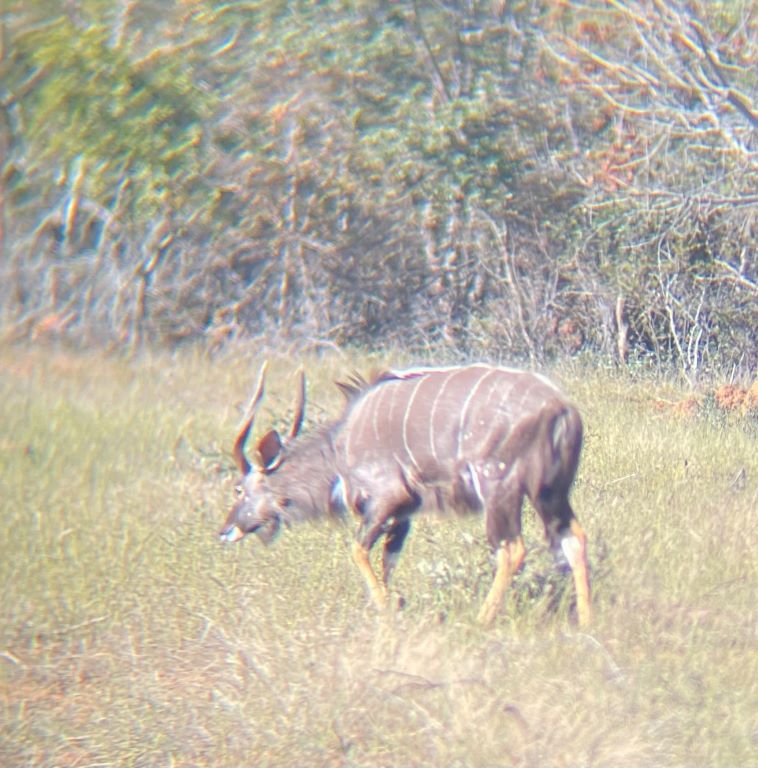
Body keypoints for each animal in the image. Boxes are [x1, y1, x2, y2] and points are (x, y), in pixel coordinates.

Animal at [220, 362, 592, 624]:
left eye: (238, 489)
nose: (225, 530)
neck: (339, 451)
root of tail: (561, 408)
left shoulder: (387, 499)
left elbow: (358, 550)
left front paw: (385, 612)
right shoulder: (405, 514)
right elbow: (389, 559)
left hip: (499, 488)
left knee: (512, 548)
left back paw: (480, 621)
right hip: (550, 493)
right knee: (573, 537)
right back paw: (586, 621)